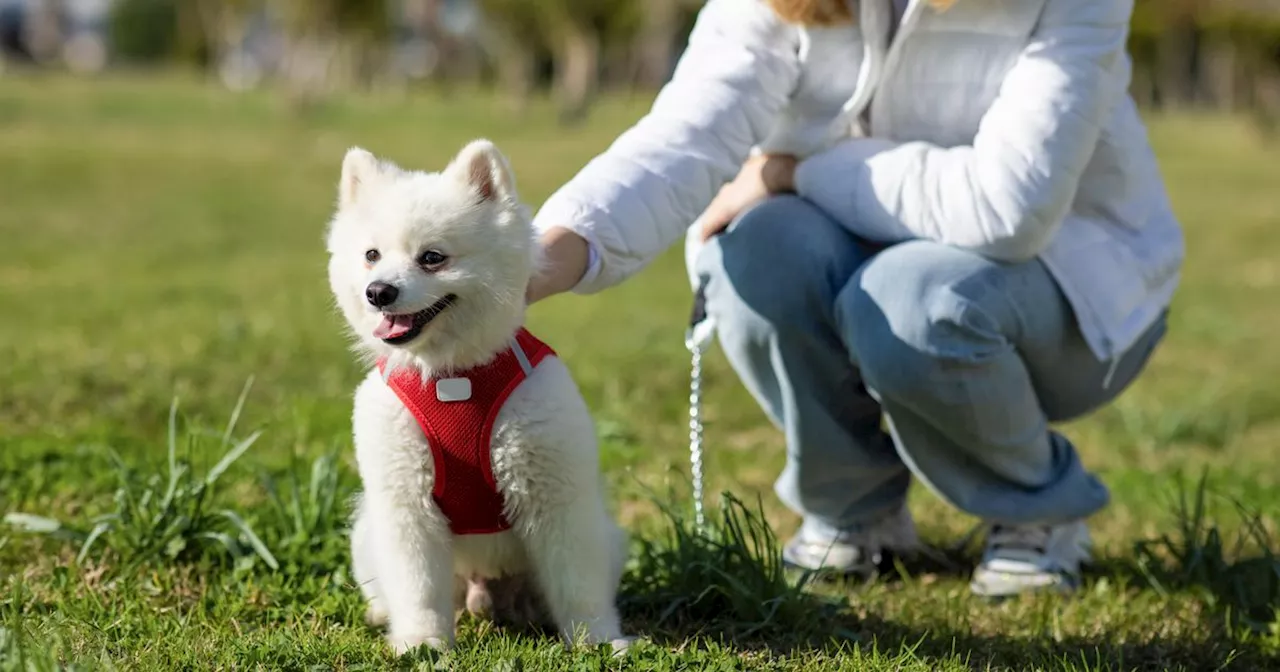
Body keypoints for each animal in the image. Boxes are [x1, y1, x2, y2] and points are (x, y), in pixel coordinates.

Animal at [327, 138, 632, 652]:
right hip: (368, 534)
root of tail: (483, 588)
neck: (453, 376)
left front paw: (597, 641)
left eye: (432, 257)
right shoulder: (408, 503)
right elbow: (418, 587)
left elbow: (577, 583)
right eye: (371, 254)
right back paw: (383, 614)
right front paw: (422, 643)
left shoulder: (556, 497)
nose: (378, 291)